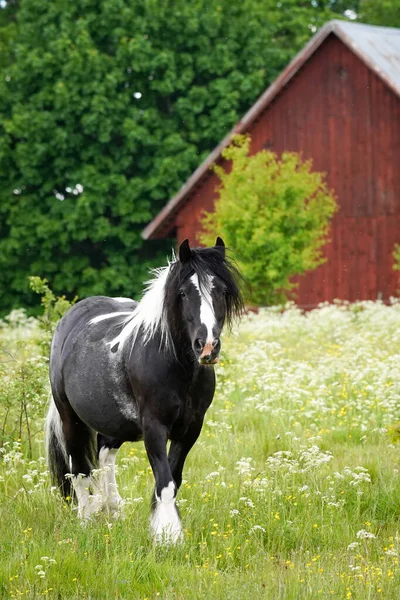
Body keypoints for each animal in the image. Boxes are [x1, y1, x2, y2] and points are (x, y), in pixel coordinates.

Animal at [45, 238, 242, 544]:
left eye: (220, 290)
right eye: (183, 293)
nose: (207, 346)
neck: (175, 366)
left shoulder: (191, 428)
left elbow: (173, 478)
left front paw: (160, 526)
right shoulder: (154, 427)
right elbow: (165, 481)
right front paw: (169, 536)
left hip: (114, 422)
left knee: (105, 455)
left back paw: (113, 509)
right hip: (70, 418)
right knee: (78, 469)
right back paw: (86, 519)